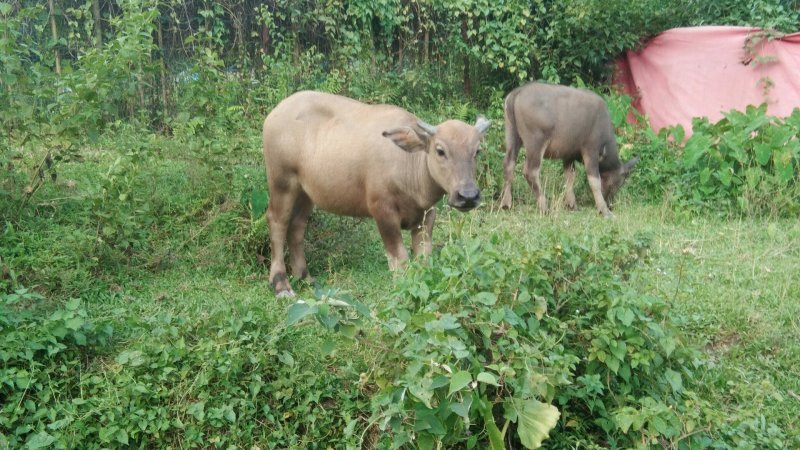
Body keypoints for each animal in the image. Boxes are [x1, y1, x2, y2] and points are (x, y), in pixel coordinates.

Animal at [262, 90, 490, 298]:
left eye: (477, 151)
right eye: (440, 150)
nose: (468, 196)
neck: (409, 166)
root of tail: (275, 113)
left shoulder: (427, 216)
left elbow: (423, 259)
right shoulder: (382, 211)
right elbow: (400, 259)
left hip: (306, 192)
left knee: (297, 226)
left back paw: (304, 277)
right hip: (282, 182)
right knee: (277, 221)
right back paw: (281, 283)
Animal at [500, 85, 636, 220]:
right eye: (619, 183)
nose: (610, 204)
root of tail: (517, 93)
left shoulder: (568, 155)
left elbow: (570, 177)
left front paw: (571, 204)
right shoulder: (591, 149)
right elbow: (594, 181)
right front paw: (604, 211)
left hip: (512, 136)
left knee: (508, 164)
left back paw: (506, 203)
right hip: (536, 141)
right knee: (530, 172)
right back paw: (544, 208)